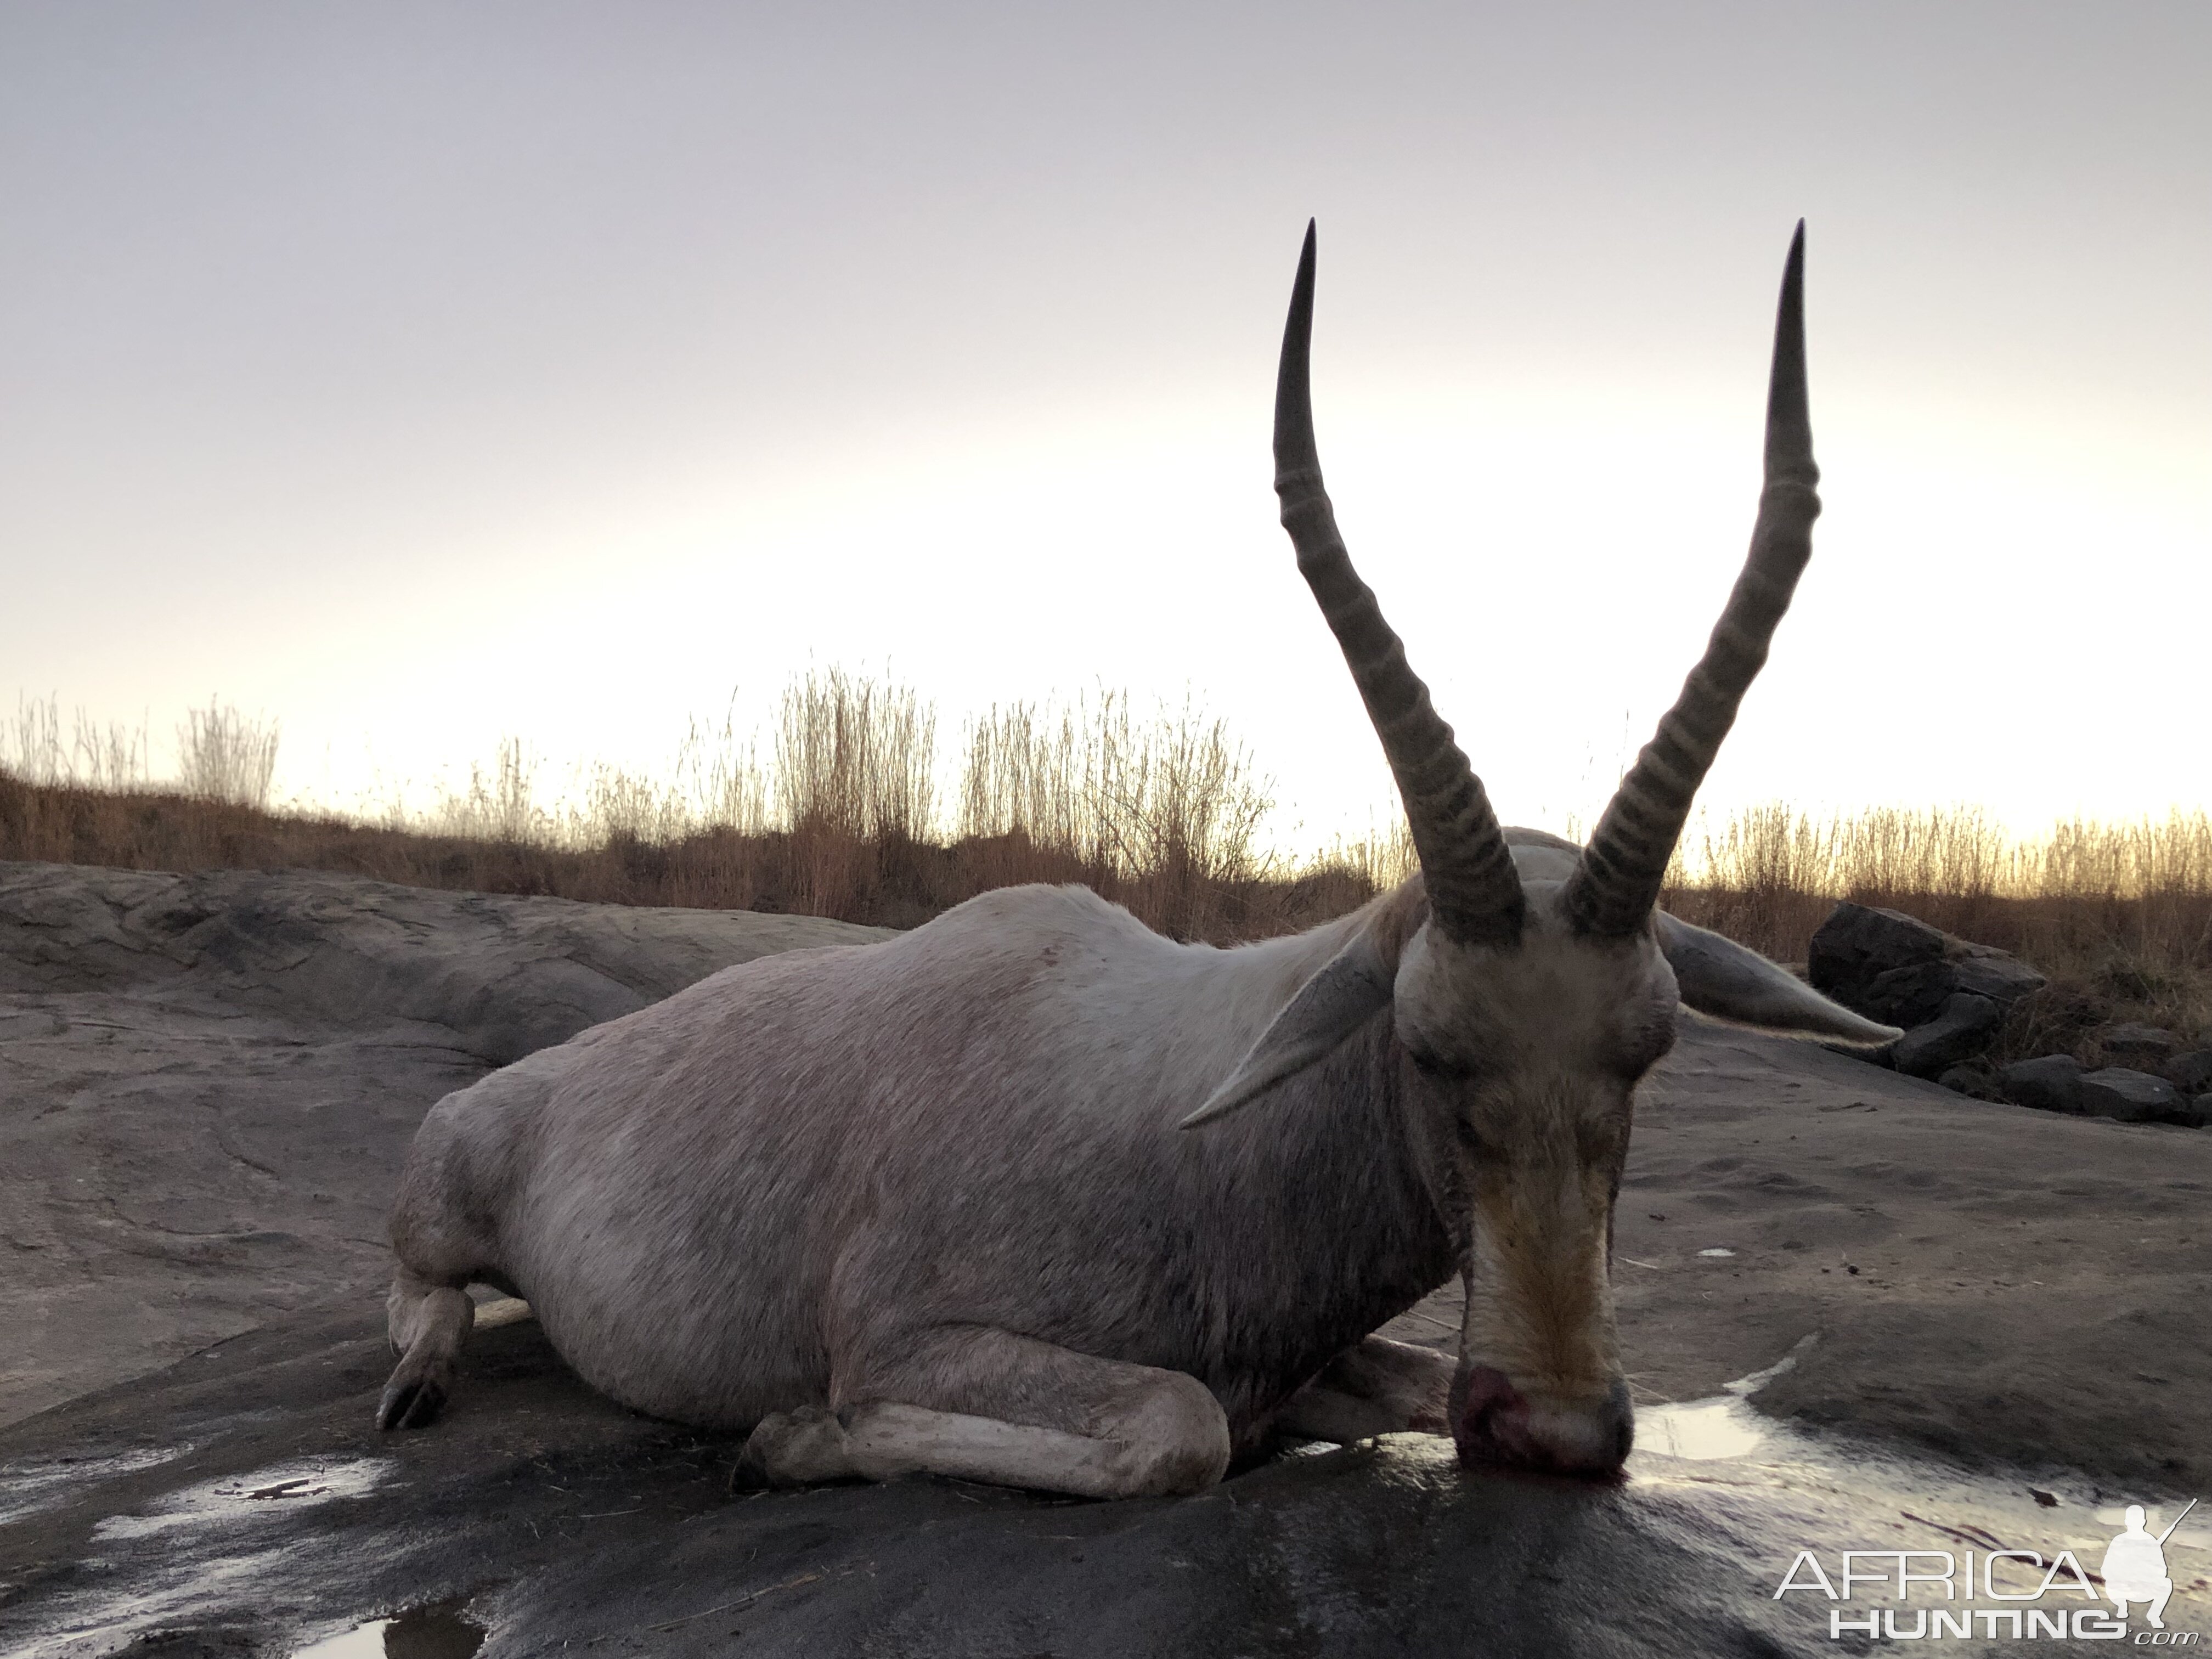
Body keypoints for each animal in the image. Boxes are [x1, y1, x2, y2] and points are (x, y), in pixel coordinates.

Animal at [376, 215, 1884, 1504]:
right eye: (1429, 1048)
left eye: (1650, 1053)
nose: (1556, 1431)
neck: (1190, 1126)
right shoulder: (908, 1337)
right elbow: (1183, 1426)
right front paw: (789, 1440)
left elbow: (1366, 1390)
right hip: (443, 1198)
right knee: (421, 1286)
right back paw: (419, 1383)